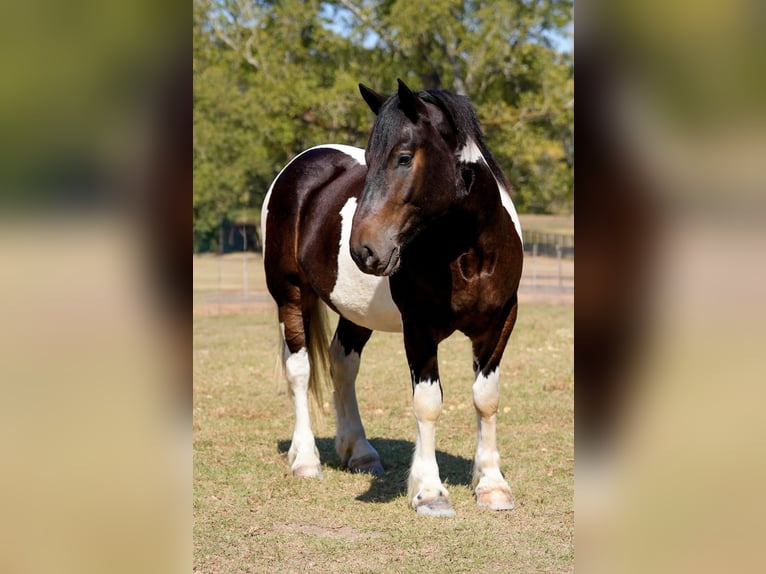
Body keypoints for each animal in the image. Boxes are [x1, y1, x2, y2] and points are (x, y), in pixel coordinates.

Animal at [261, 79, 523, 516]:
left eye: (403, 157)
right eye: (368, 159)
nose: (362, 250)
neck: (467, 252)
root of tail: (299, 166)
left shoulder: (499, 323)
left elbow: (486, 399)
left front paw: (492, 485)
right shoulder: (419, 329)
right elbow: (428, 402)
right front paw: (430, 492)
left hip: (354, 314)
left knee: (342, 364)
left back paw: (360, 452)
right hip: (289, 294)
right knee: (300, 371)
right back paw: (306, 460)